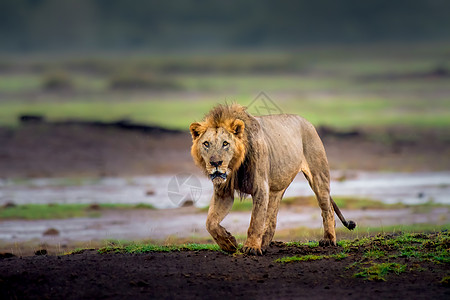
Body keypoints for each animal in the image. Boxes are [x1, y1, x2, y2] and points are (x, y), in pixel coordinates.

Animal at [190, 103, 356, 255]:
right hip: (276, 189)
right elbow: (210, 223)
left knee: (327, 209)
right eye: (206, 144)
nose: (215, 163)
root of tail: (307, 122)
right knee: (271, 219)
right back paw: (264, 244)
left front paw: (251, 247)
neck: (235, 167)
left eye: (225, 143)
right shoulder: (223, 193)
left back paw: (329, 239)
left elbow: (256, 221)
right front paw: (229, 243)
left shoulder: (260, 188)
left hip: (318, 176)